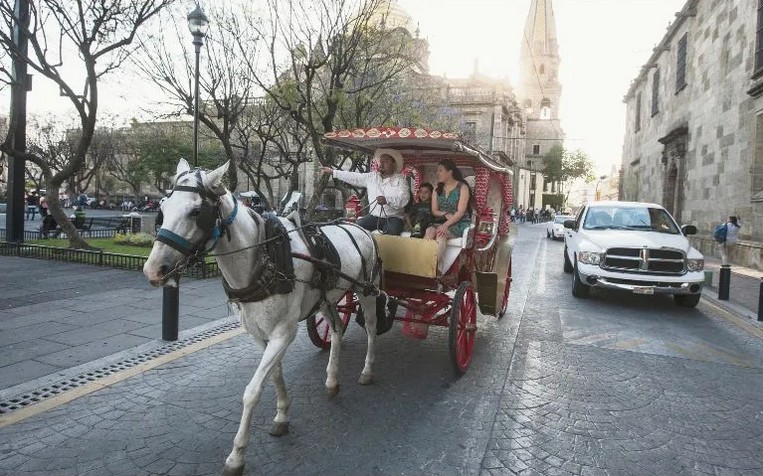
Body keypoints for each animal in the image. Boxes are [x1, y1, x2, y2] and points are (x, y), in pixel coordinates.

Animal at [144, 160, 384, 476]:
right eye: (162, 207)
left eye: (196, 211)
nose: (153, 270)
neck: (264, 257)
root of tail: (359, 226)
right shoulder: (259, 334)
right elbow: (275, 375)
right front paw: (282, 416)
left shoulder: (283, 333)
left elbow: (252, 390)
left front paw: (237, 455)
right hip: (326, 298)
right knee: (335, 328)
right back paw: (332, 379)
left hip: (366, 289)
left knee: (370, 328)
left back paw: (368, 370)